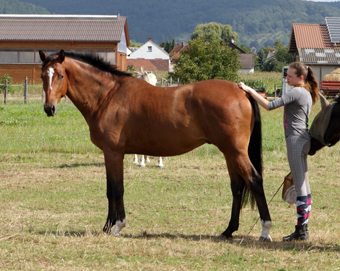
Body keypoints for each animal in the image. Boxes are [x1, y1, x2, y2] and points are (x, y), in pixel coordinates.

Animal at [38, 50, 272, 241]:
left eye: (60, 75)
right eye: (42, 76)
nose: (49, 108)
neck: (108, 96)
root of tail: (241, 91)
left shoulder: (114, 153)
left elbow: (117, 188)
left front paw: (118, 226)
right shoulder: (109, 153)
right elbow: (109, 189)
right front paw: (106, 226)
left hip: (236, 152)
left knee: (254, 180)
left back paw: (265, 230)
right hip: (229, 153)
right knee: (237, 186)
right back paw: (229, 230)